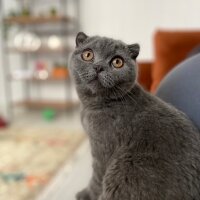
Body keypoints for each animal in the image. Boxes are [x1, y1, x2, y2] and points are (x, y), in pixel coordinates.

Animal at [69, 32, 200, 199]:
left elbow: (96, 179)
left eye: (117, 62)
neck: (93, 105)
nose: (99, 67)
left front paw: (85, 194)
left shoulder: (102, 150)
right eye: (88, 54)